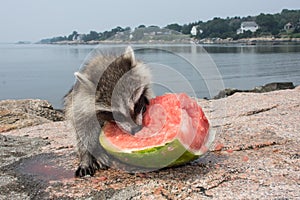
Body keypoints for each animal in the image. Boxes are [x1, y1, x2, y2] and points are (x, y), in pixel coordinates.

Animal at [63, 46, 152, 177]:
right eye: (117, 114)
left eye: (136, 105)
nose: (136, 129)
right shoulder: (80, 105)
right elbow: (84, 132)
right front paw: (88, 157)